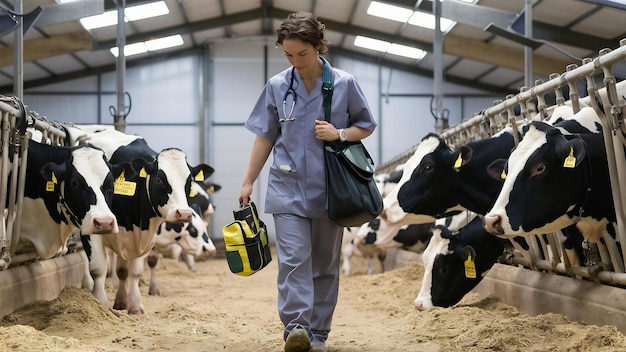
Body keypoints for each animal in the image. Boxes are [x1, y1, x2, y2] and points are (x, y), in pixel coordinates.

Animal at [77, 129, 213, 314]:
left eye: (189, 182)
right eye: (159, 179)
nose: (183, 213)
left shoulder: (142, 236)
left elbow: (131, 271)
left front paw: (132, 304)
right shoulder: (93, 229)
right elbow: (98, 269)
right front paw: (100, 305)